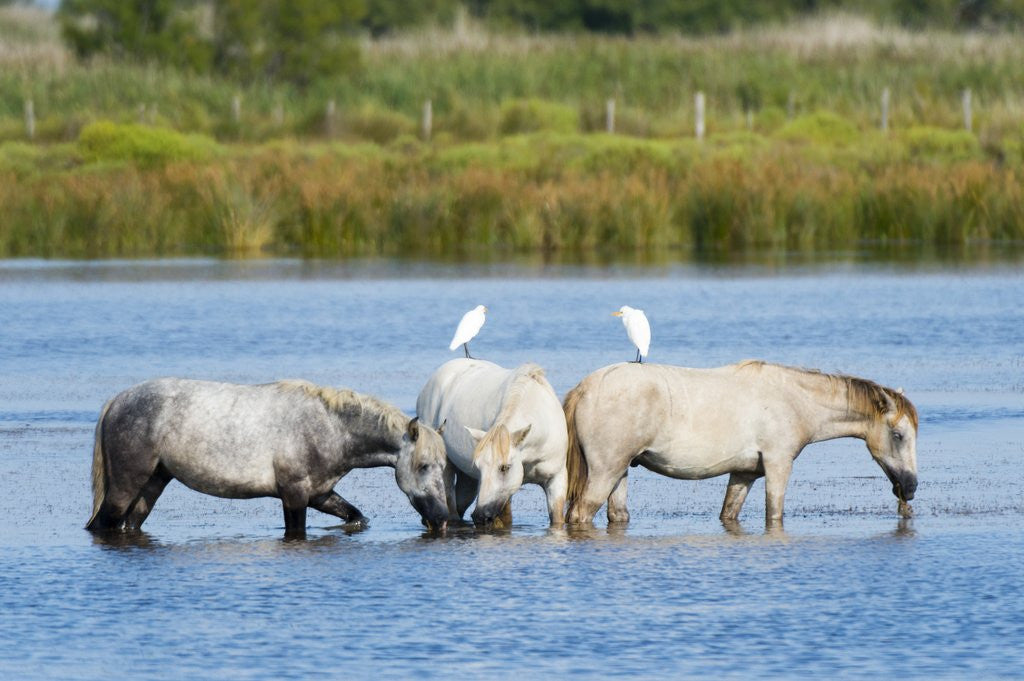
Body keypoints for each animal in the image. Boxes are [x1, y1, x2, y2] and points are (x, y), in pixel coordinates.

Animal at [86, 378, 450, 537]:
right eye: (422, 466)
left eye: (443, 468)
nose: (442, 517)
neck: (330, 427)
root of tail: (116, 401)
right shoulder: (294, 495)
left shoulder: (319, 493)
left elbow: (356, 517)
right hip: (125, 486)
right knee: (104, 525)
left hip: (153, 483)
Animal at [563, 361, 919, 527]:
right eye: (898, 435)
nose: (911, 487)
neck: (794, 400)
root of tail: (586, 387)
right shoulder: (778, 465)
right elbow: (774, 513)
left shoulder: (744, 474)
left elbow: (728, 514)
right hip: (605, 472)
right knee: (578, 514)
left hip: (621, 472)